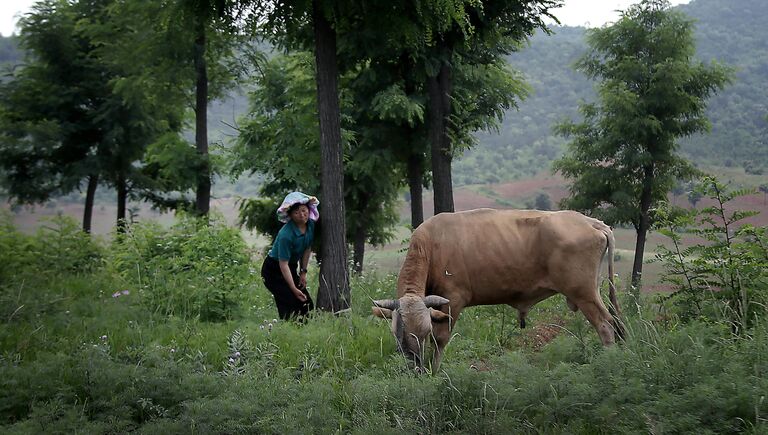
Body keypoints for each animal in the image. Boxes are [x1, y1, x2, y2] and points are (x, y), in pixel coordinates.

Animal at [372, 209, 624, 372]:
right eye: (399, 334)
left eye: (423, 332)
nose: (414, 364)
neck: (431, 246)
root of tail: (591, 221)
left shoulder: (452, 300)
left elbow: (440, 339)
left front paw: (434, 373)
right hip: (591, 291)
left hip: (584, 292)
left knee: (605, 324)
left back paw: (609, 363)